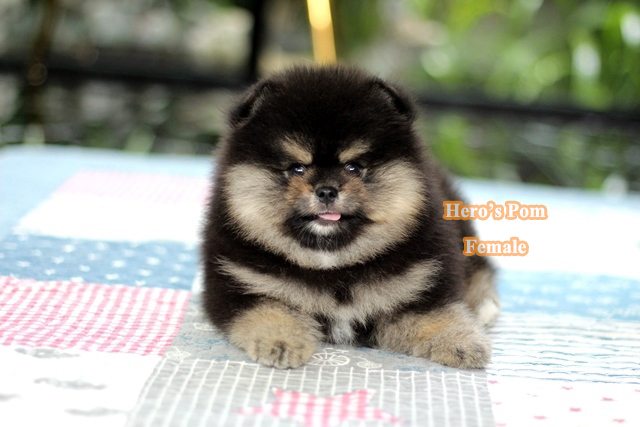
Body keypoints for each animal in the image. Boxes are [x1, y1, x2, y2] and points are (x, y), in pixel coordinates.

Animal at [201, 65, 499, 369]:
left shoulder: (420, 279)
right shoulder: (241, 282)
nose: (326, 190)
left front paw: (461, 342)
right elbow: (270, 309)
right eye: (296, 168)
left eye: (354, 167)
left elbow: (433, 315)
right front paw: (282, 342)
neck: (333, 265)